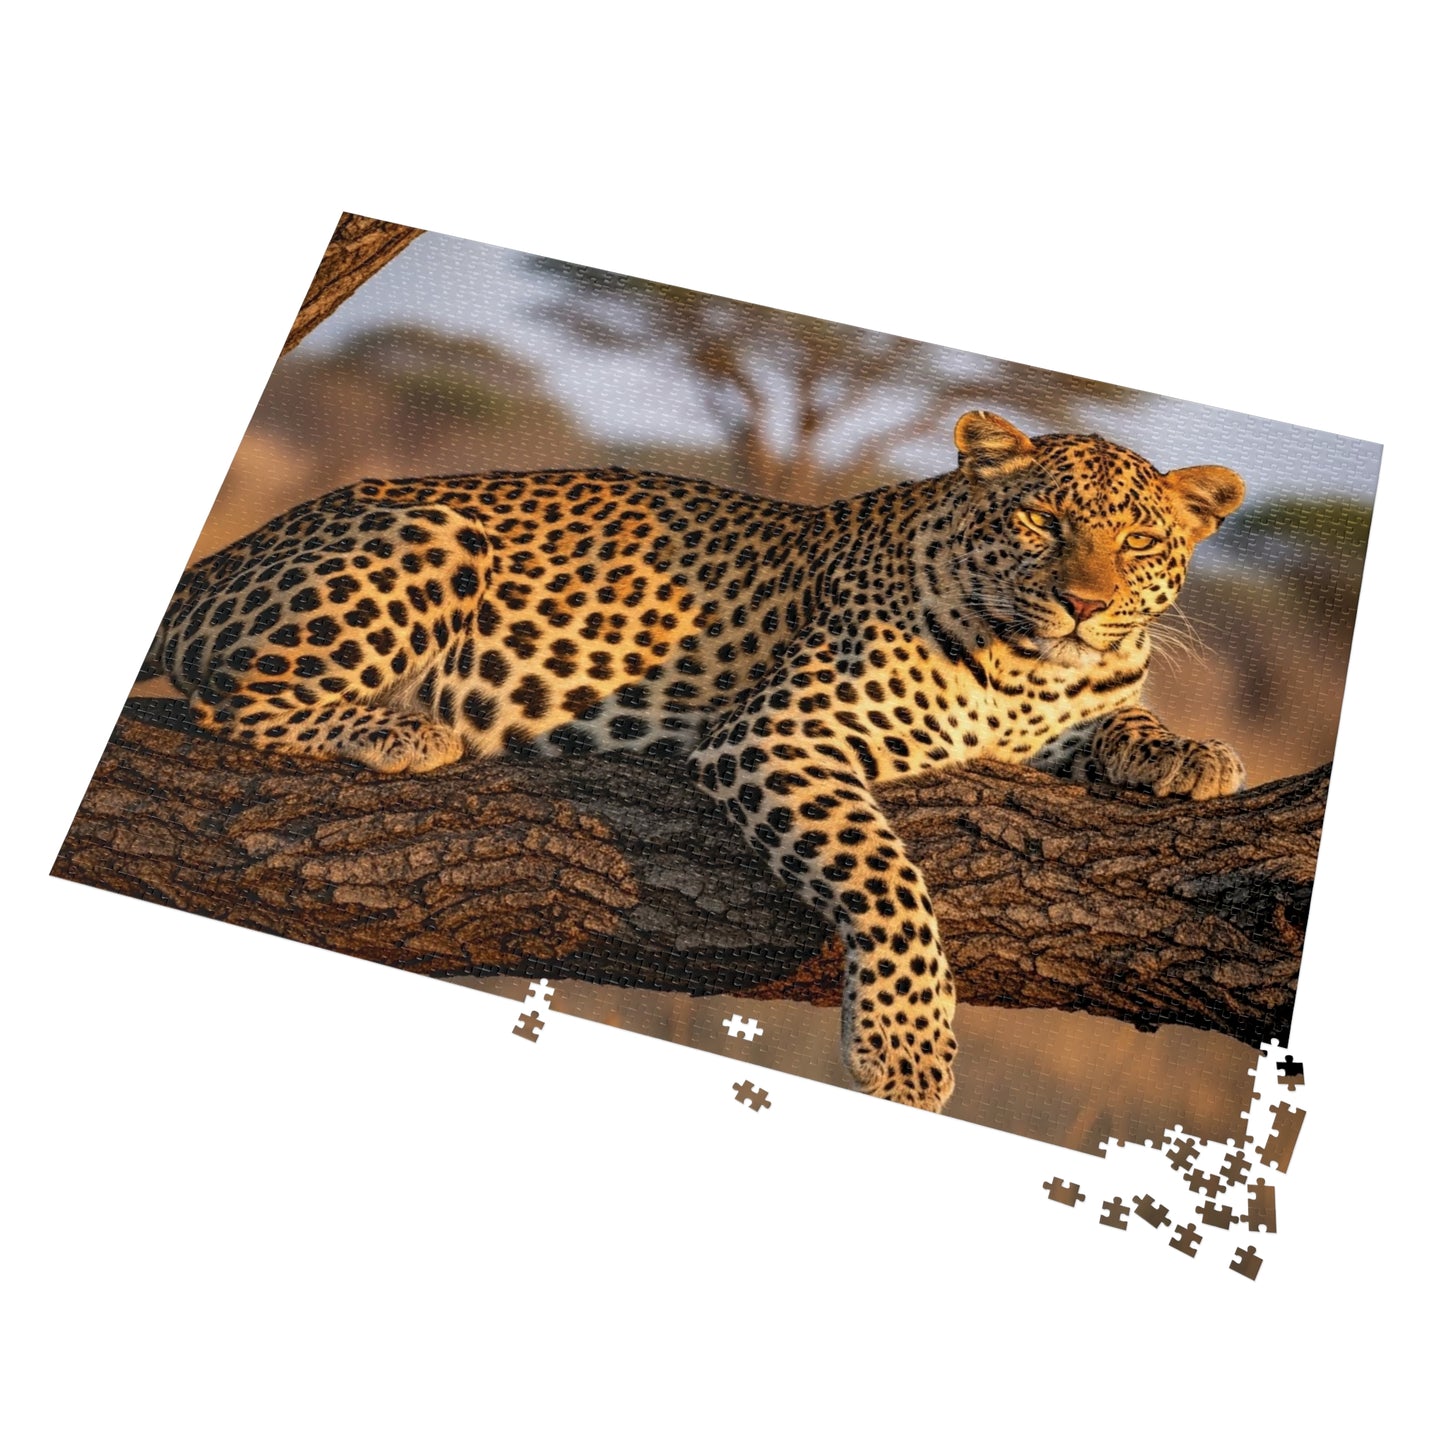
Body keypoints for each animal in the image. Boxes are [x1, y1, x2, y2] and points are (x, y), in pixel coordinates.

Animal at [146, 411, 1247, 1113]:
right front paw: (903, 1048)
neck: (1024, 673)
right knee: (233, 699)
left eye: (1135, 540)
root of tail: (227, 554)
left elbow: (1119, 717)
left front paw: (1189, 753)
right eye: (1039, 521)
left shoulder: (1069, 706)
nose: (1082, 603)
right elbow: (891, 881)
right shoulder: (781, 734)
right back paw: (403, 727)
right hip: (431, 536)